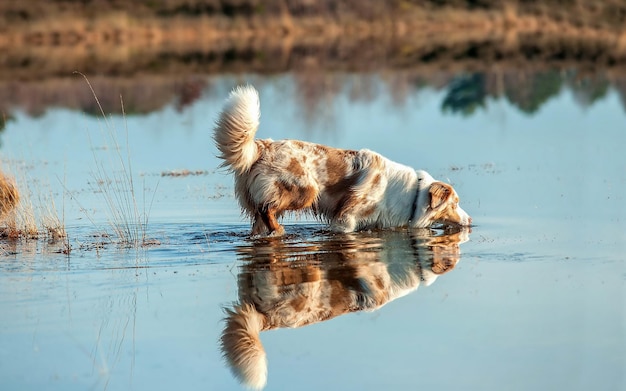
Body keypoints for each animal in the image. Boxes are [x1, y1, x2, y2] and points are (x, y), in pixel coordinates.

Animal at [213, 86, 468, 236]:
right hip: (305, 190)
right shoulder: (346, 219)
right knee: (267, 209)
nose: (469, 219)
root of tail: (264, 145)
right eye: (454, 204)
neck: (413, 195)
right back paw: (279, 230)